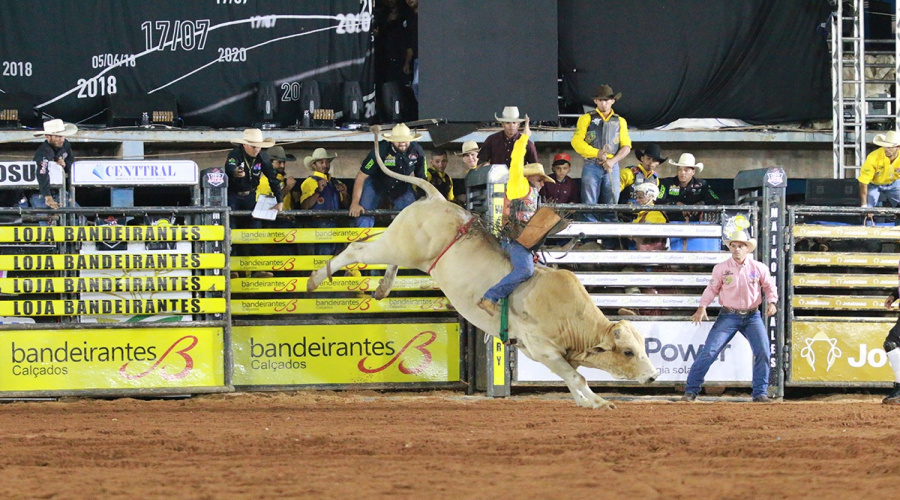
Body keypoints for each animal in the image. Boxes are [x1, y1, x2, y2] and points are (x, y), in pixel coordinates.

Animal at [306, 127, 656, 408]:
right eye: (628, 352)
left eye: (644, 347)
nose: (653, 377)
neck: (569, 315)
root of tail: (435, 197)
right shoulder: (542, 349)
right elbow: (577, 377)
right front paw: (597, 403)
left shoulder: (543, 353)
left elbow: (572, 378)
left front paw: (589, 403)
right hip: (399, 246)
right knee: (356, 248)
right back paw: (315, 278)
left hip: (404, 246)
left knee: (384, 255)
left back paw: (382, 287)